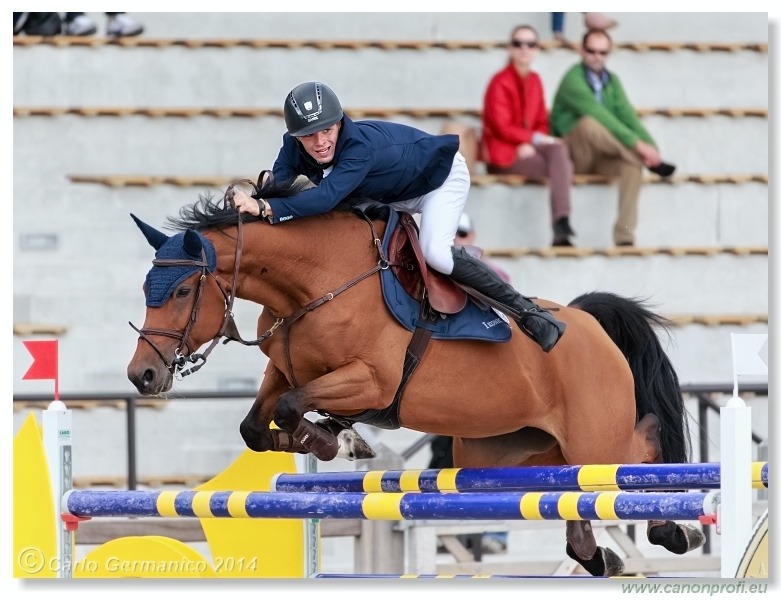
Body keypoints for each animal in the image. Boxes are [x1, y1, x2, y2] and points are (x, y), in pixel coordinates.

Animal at [126, 178, 700, 576]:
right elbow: (257, 423)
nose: (142, 375)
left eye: (182, 291)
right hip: (510, 451)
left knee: (642, 445)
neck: (317, 282)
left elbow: (292, 407)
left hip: (593, 442)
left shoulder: (370, 381)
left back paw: (674, 529)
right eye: (146, 288)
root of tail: (587, 323)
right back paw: (604, 557)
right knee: (576, 516)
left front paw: (330, 440)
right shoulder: (284, 368)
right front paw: (327, 438)